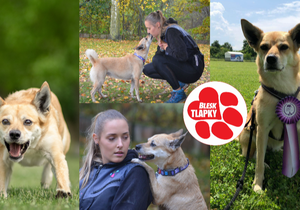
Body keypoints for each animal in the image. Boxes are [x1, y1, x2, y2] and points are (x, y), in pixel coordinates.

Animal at [239, 18, 300, 193]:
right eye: (264, 47)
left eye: (284, 47)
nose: (271, 58)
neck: (282, 89)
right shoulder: (262, 128)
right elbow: (258, 162)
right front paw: (258, 185)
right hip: (250, 134)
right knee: (252, 156)